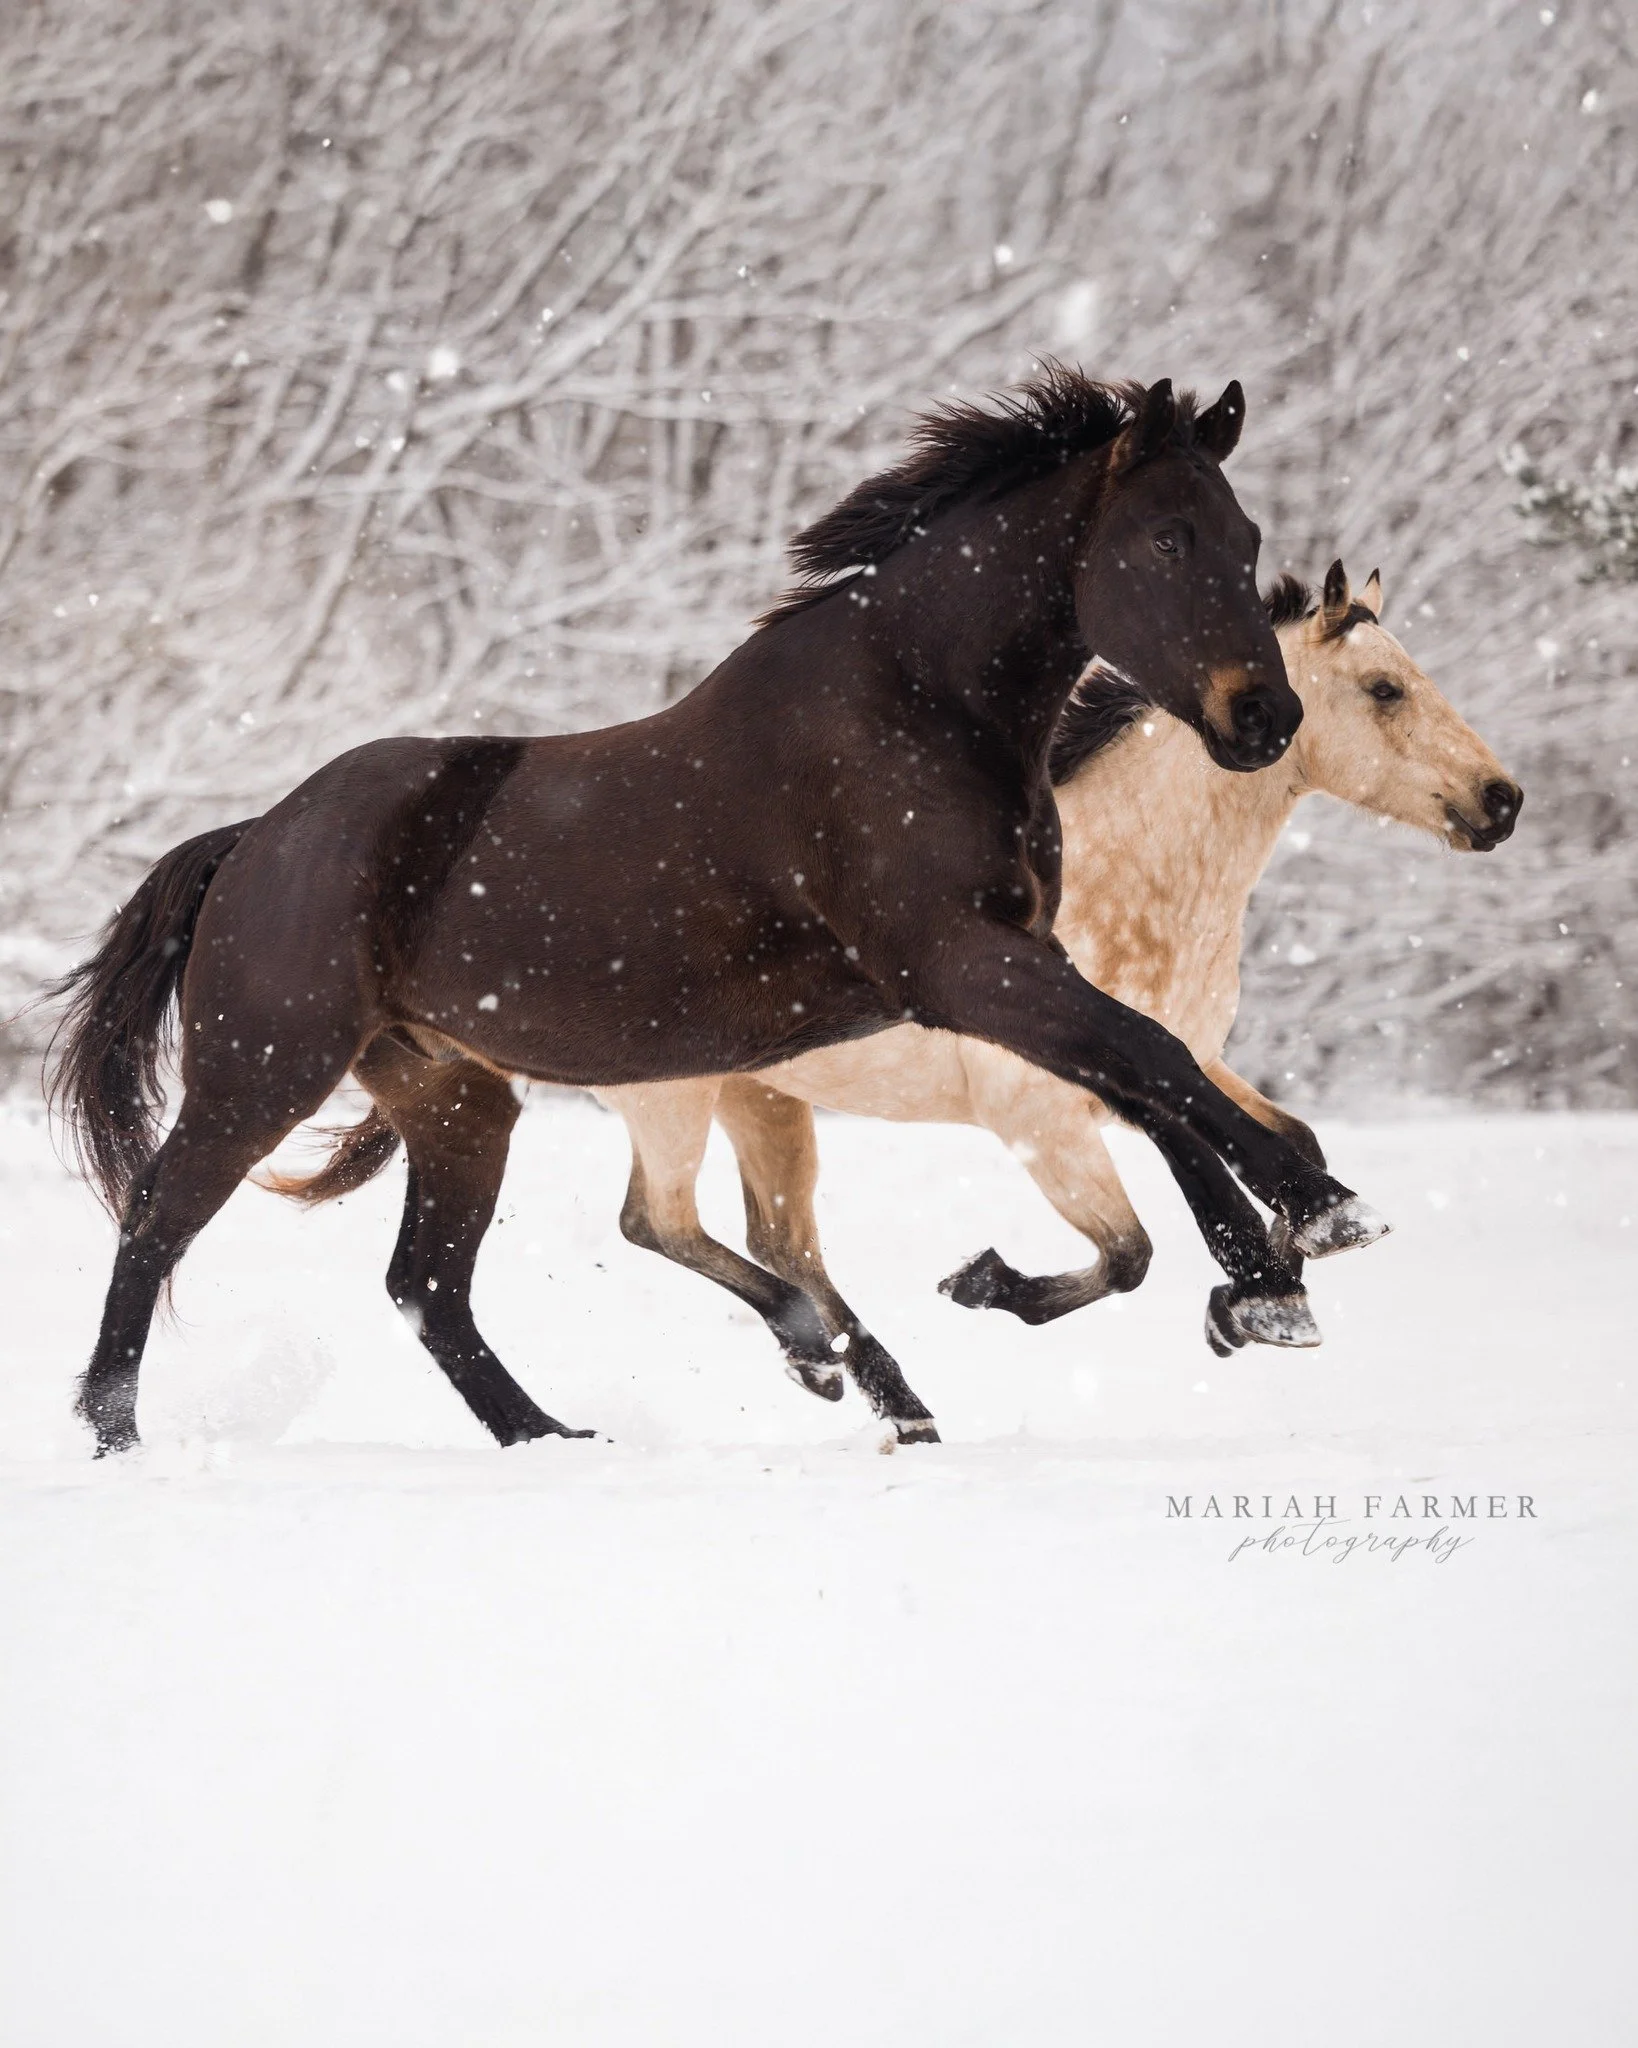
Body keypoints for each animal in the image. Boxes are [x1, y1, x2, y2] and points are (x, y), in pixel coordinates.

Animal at [49, 369, 1387, 1456]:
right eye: (1164, 539)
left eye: (1244, 537)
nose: (1265, 717)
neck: (915, 706)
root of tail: (254, 838)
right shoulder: (962, 965)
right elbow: (1155, 1063)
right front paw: (1317, 1219)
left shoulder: (1018, 963)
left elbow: (1152, 1086)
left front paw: (1265, 1277)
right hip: (264, 1069)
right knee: (159, 1222)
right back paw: (115, 1434)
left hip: (457, 1100)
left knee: (428, 1284)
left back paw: (564, 1432)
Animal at [588, 560, 1520, 1425]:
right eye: (1385, 688)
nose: (1503, 800)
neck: (1134, 879)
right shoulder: (1045, 1114)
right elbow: (1132, 1249)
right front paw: (987, 1281)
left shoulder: (1187, 1060)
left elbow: (1289, 1139)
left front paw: (1257, 1294)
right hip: (675, 1099)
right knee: (660, 1225)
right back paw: (843, 1370)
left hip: (765, 1099)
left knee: (779, 1239)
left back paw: (869, 1390)